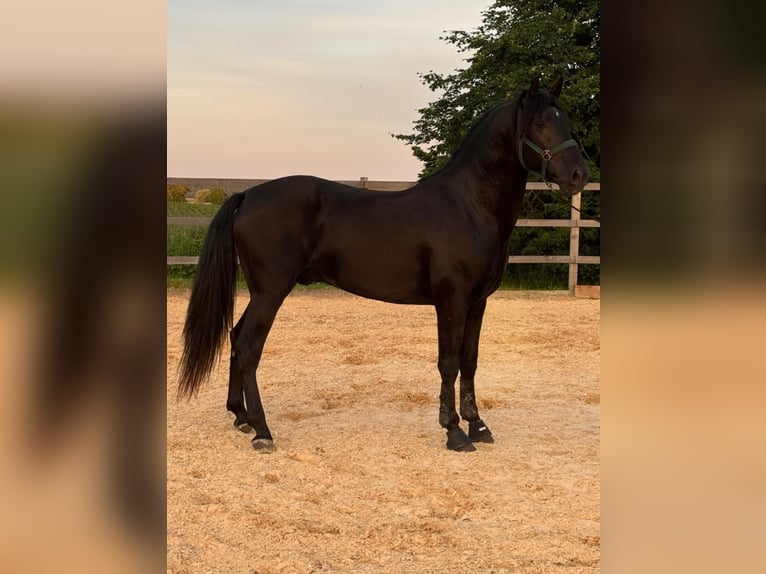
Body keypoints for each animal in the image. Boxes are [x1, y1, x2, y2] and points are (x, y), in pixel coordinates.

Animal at [178, 77, 588, 454]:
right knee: (248, 347)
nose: (578, 175)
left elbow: (469, 361)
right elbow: (449, 362)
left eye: (566, 119)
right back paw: (263, 431)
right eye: (540, 123)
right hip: (270, 291)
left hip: (261, 293)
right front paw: (454, 432)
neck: (468, 205)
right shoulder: (451, 301)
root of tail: (247, 195)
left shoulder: (477, 302)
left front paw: (478, 426)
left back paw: (241, 416)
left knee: (235, 338)